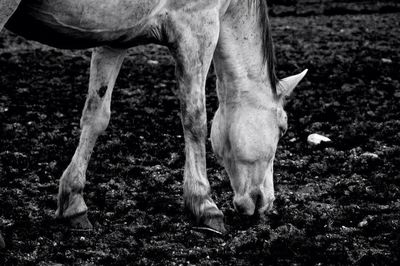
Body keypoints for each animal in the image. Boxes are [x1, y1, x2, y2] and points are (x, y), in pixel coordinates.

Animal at [0, 0, 306, 242]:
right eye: (283, 128)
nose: (267, 203)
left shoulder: (114, 39)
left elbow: (96, 115)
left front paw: (73, 204)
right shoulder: (198, 28)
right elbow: (195, 119)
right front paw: (204, 205)